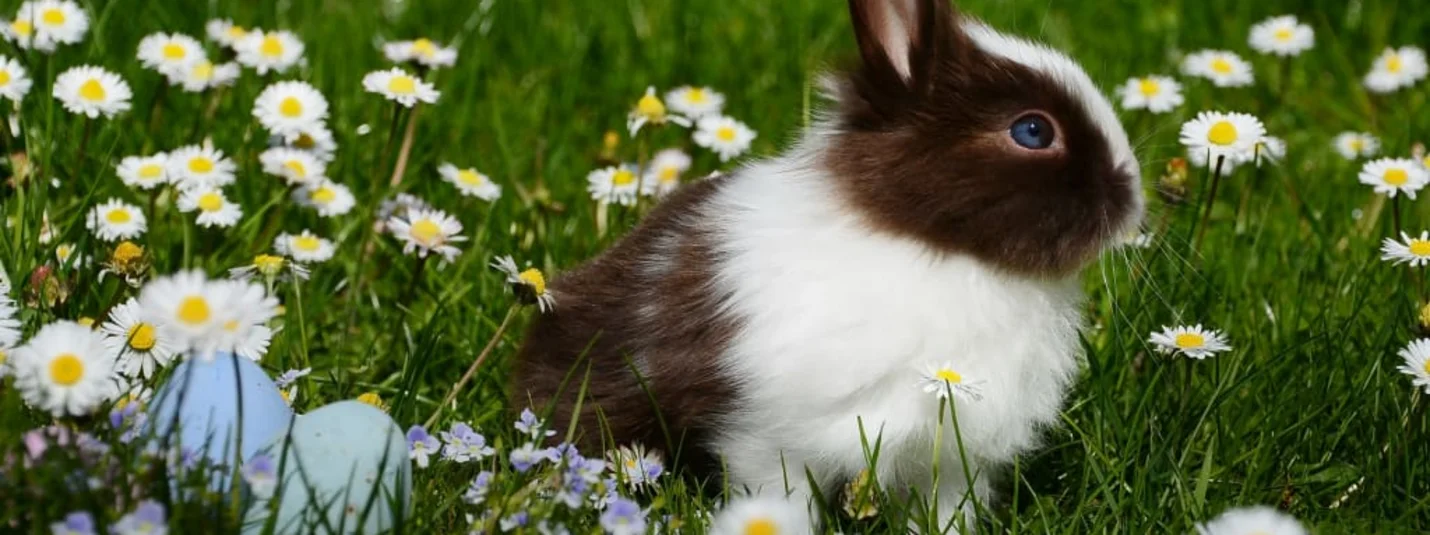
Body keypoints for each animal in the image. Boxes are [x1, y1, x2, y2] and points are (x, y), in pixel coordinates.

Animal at [511, 0, 1143, 531]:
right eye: (1033, 130)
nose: (1132, 199)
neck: (934, 247)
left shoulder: (949, 457)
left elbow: (944, 511)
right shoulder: (768, 437)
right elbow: (778, 496)